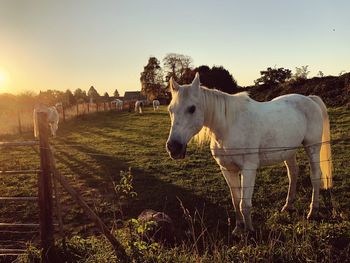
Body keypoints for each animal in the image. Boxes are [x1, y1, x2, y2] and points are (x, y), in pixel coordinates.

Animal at [165, 73, 332, 235]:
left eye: (192, 108)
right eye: (170, 109)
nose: (173, 147)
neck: (229, 127)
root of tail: (310, 99)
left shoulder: (249, 169)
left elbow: (244, 203)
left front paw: (250, 231)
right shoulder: (227, 169)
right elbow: (236, 200)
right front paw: (239, 228)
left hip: (312, 147)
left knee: (315, 175)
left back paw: (313, 211)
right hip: (289, 152)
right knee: (293, 173)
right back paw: (287, 206)